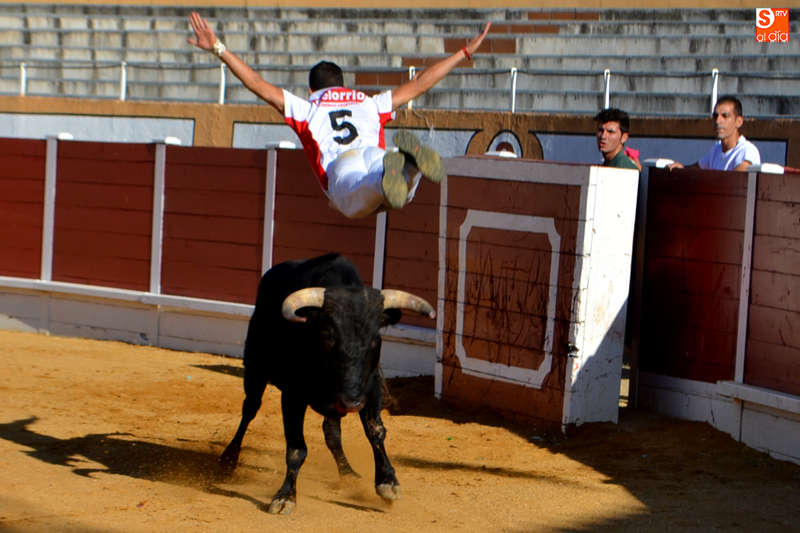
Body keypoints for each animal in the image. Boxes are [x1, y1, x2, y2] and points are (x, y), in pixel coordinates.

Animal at [216, 253, 435, 514]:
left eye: (374, 338)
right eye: (329, 336)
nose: (351, 403)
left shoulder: (370, 389)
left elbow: (376, 432)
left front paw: (388, 483)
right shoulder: (292, 395)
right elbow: (296, 448)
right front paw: (285, 496)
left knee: (331, 434)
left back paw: (348, 473)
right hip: (254, 369)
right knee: (249, 409)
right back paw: (228, 460)